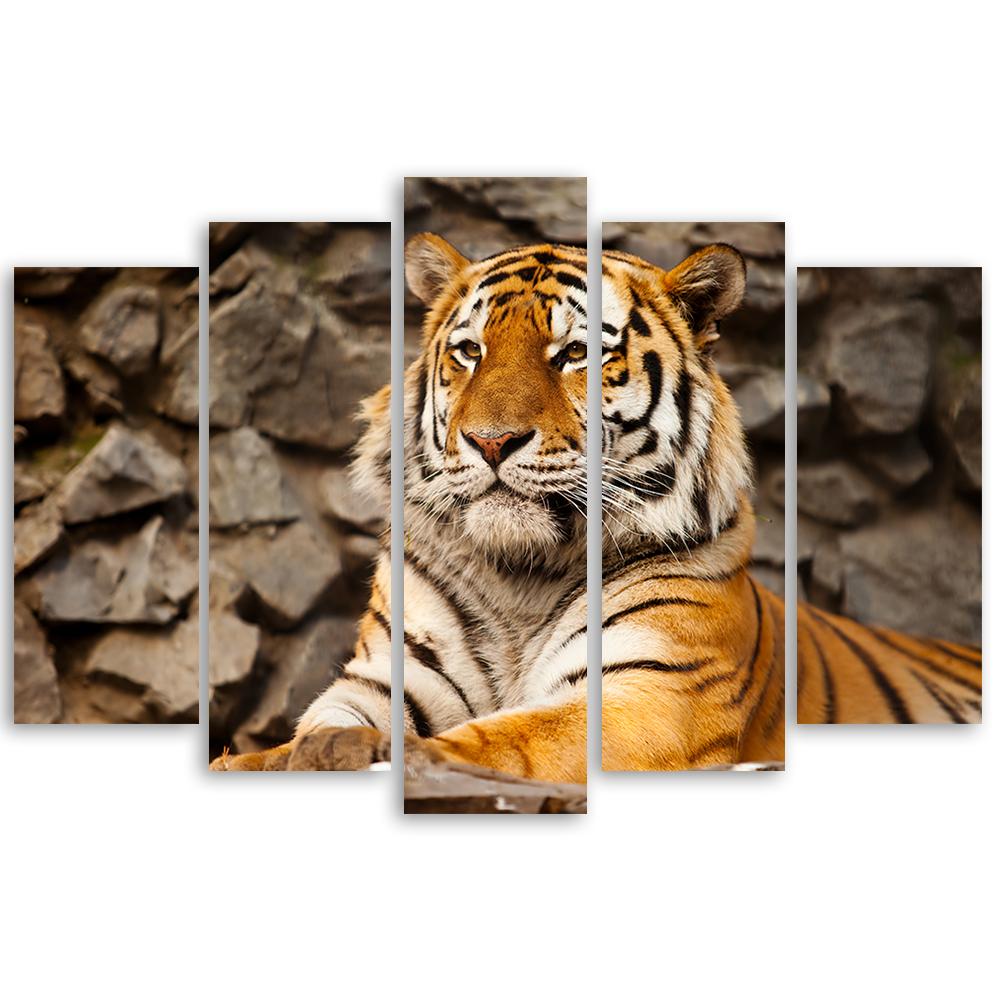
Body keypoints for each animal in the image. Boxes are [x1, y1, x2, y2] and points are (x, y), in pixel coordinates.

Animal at [211, 235, 787, 774]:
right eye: (471, 351)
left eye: (576, 354)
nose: (491, 441)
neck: (521, 577)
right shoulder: (383, 677)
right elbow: (317, 728)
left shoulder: (653, 692)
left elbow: (501, 741)